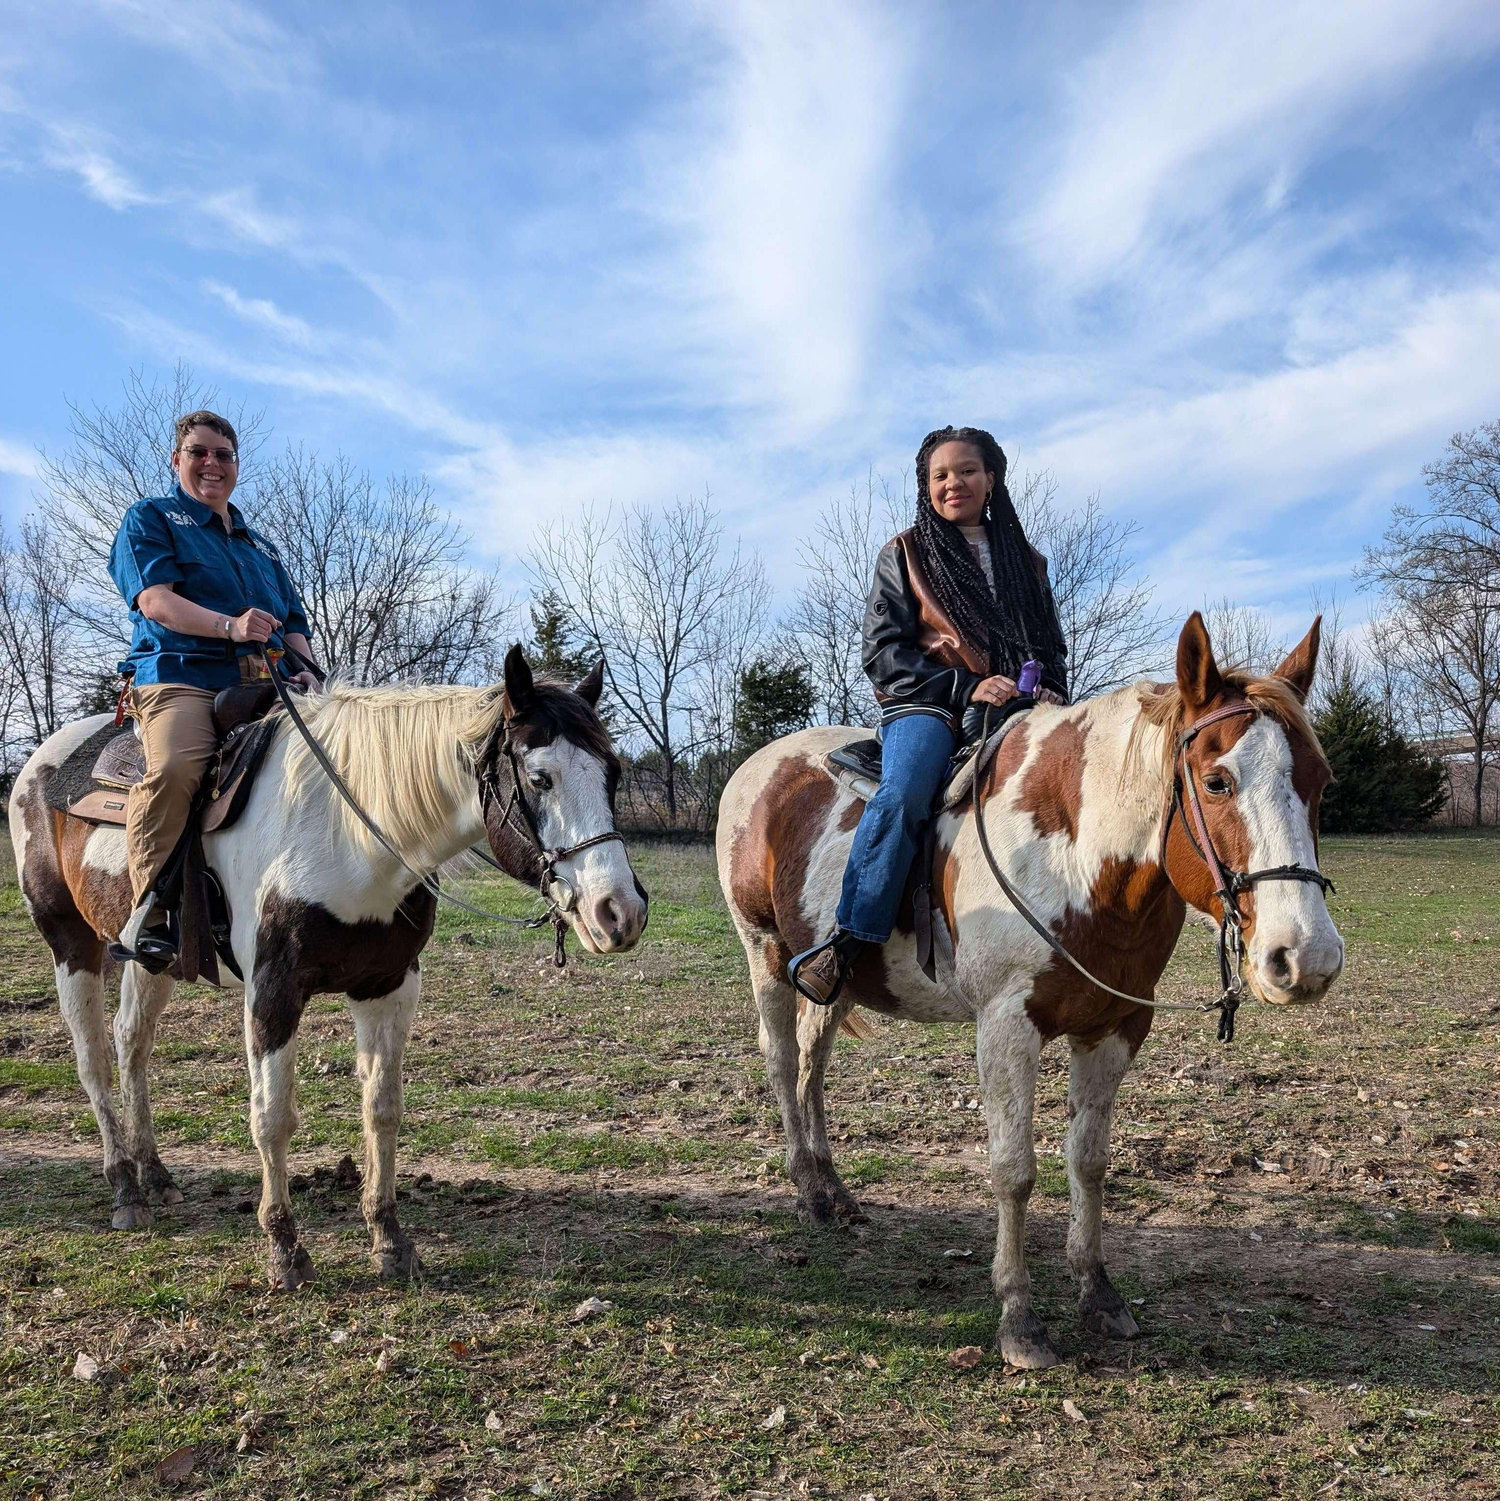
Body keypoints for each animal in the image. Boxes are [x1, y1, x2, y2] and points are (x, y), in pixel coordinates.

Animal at [9, 646, 646, 1288]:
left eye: (613, 773)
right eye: (540, 778)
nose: (620, 912)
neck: (346, 832)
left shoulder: (389, 986)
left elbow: (383, 1108)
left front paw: (390, 1239)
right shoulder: (273, 990)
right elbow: (271, 1117)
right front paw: (284, 1249)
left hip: (152, 960)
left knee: (131, 1042)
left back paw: (155, 1174)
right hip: (71, 942)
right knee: (93, 1058)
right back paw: (125, 1188)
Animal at [716, 613, 1343, 1368]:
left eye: (1320, 783)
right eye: (1218, 781)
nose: (1306, 957)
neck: (1078, 860)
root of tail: (757, 768)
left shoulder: (1115, 1027)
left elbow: (1089, 1161)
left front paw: (1098, 1291)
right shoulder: (1007, 1027)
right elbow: (1013, 1169)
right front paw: (1018, 1316)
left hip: (829, 982)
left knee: (813, 1064)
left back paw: (834, 1189)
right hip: (764, 954)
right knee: (784, 1063)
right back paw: (809, 1193)